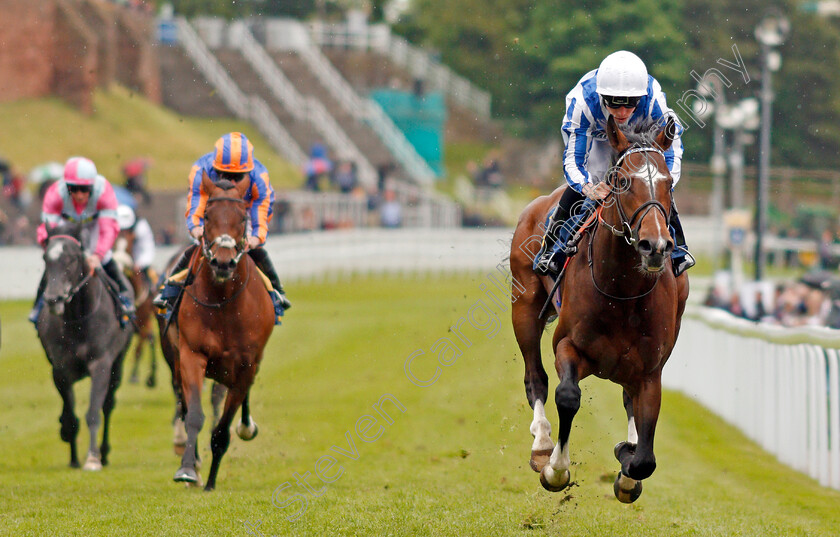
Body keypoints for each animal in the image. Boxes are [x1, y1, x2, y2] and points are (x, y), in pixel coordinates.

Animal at [35, 224, 135, 466]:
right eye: (45, 258)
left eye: (71, 258)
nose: (53, 299)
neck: (78, 321)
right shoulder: (60, 369)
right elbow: (71, 415)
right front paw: (72, 457)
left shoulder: (101, 364)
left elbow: (93, 412)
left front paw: (92, 458)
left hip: (118, 364)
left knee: (108, 405)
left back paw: (104, 453)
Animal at [159, 173, 274, 490]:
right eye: (208, 215)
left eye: (243, 217)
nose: (222, 262)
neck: (224, 303)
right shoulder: (191, 355)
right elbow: (194, 416)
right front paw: (188, 469)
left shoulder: (246, 367)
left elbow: (222, 430)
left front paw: (211, 483)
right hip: (175, 357)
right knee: (184, 402)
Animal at [512, 116, 688, 502]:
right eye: (623, 182)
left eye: (668, 183)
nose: (655, 245)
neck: (622, 291)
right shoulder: (568, 345)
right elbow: (567, 395)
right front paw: (556, 469)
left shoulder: (650, 371)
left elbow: (644, 457)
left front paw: (627, 460)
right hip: (524, 308)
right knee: (536, 377)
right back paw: (542, 444)